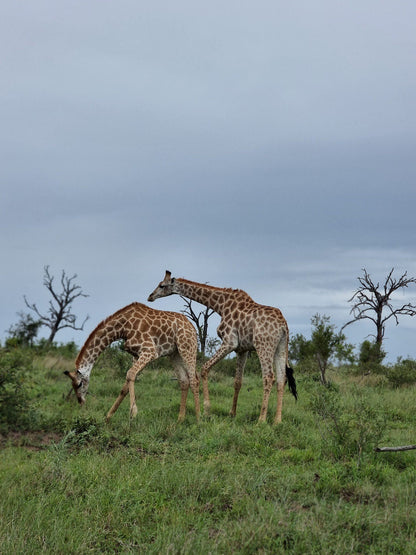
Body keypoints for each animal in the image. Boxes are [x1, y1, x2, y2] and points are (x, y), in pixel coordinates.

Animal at [64, 302, 200, 424]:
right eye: (72, 385)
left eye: (79, 384)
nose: (81, 402)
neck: (122, 328)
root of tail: (192, 327)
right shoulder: (136, 355)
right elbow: (125, 385)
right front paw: (108, 417)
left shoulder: (149, 351)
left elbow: (130, 374)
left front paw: (133, 413)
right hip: (174, 354)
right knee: (184, 381)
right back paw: (180, 419)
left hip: (187, 347)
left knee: (194, 380)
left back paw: (199, 418)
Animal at [148, 272, 298, 424]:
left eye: (162, 285)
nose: (150, 296)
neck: (221, 305)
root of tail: (284, 326)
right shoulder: (242, 349)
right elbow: (237, 381)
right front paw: (232, 413)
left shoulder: (230, 342)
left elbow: (204, 368)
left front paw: (207, 410)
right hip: (280, 348)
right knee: (281, 379)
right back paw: (277, 420)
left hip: (264, 345)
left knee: (268, 377)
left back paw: (261, 420)